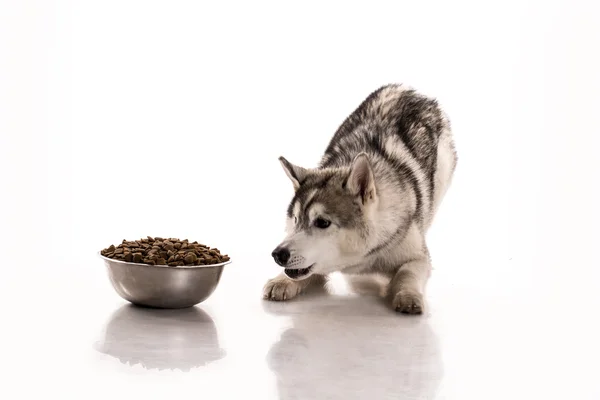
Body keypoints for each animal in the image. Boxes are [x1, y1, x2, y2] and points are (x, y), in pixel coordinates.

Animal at [264, 84, 458, 314]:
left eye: (322, 222)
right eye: (295, 220)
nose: (278, 254)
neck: (361, 262)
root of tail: (407, 89)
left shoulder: (418, 257)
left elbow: (407, 272)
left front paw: (407, 294)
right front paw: (282, 281)